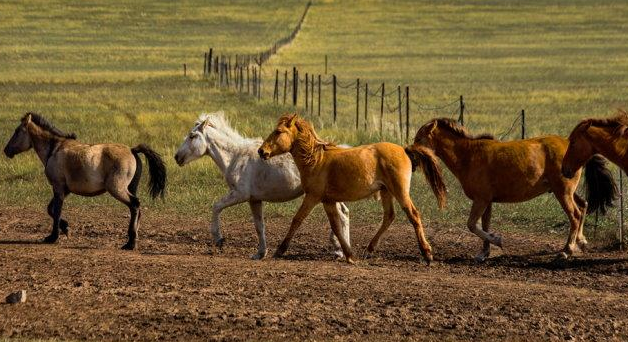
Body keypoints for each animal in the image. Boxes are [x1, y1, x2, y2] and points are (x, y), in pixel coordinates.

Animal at [2, 113, 168, 250]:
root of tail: (132, 150)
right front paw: (65, 228)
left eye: (17, 131)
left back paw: (130, 243)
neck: (54, 150)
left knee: (134, 205)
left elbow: (56, 211)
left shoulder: (58, 187)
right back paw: (133, 239)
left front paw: (53, 237)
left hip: (117, 189)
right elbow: (50, 209)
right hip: (130, 188)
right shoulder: (65, 190)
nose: (6, 150)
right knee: (137, 210)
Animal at [173, 112, 348, 260]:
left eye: (192, 136)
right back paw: (341, 249)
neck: (235, 157)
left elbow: (216, 207)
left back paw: (339, 249)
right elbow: (259, 226)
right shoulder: (254, 200)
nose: (177, 157)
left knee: (341, 215)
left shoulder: (239, 195)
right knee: (344, 214)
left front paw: (219, 239)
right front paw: (260, 253)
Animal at [256, 113, 446, 264]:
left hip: (400, 192)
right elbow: (336, 226)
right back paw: (369, 249)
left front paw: (280, 250)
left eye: (278, 131)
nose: (261, 151)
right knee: (389, 216)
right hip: (386, 191)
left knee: (413, 215)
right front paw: (349, 255)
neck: (316, 160)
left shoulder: (312, 197)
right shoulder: (328, 201)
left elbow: (297, 219)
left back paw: (427, 254)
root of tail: (404, 149)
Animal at [404, 119, 616, 260]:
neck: (469, 155)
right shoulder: (487, 201)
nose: (409, 155)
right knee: (583, 205)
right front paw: (484, 252)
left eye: (419, 138)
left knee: (575, 215)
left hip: (562, 192)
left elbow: (472, 225)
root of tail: (570, 146)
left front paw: (497, 240)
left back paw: (567, 250)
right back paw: (581, 242)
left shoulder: (481, 200)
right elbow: (484, 225)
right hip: (566, 192)